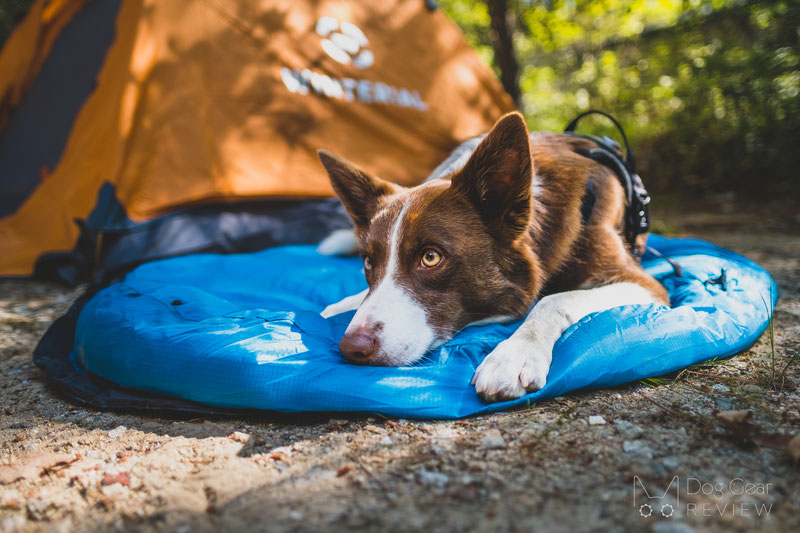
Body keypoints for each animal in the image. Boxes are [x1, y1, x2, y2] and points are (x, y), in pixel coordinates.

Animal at [316, 113, 664, 404]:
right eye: (368, 262)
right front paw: (339, 304)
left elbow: (551, 301)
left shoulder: (644, 284)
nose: (351, 348)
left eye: (431, 257)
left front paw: (514, 354)